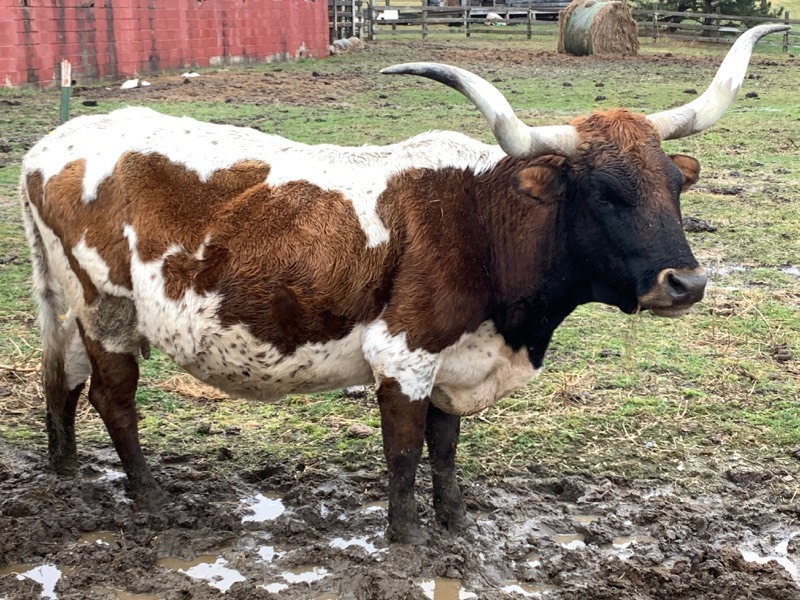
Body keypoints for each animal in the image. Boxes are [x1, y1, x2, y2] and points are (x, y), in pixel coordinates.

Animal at [21, 24, 786, 544]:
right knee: (115, 400)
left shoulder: (457, 359)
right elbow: (405, 453)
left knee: (62, 378)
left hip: (73, 306)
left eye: (675, 185)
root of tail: (48, 147)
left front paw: (456, 525)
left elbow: (446, 450)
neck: (483, 221)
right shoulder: (405, 354)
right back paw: (149, 499)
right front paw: (407, 538)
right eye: (604, 192)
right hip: (110, 308)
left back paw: (65, 471)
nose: (685, 283)